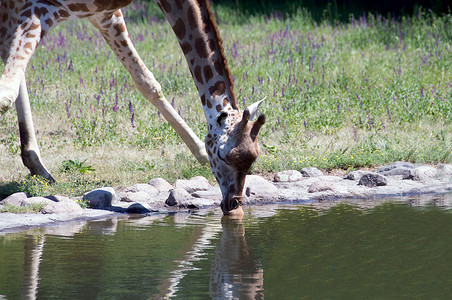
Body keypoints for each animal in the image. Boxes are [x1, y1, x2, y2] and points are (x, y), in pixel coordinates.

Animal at [0, 0, 264, 216]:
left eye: (253, 157)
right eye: (223, 155)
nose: (234, 203)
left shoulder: (105, 14)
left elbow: (147, 81)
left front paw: (198, 151)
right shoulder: (41, 6)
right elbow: (6, 91)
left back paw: (38, 167)